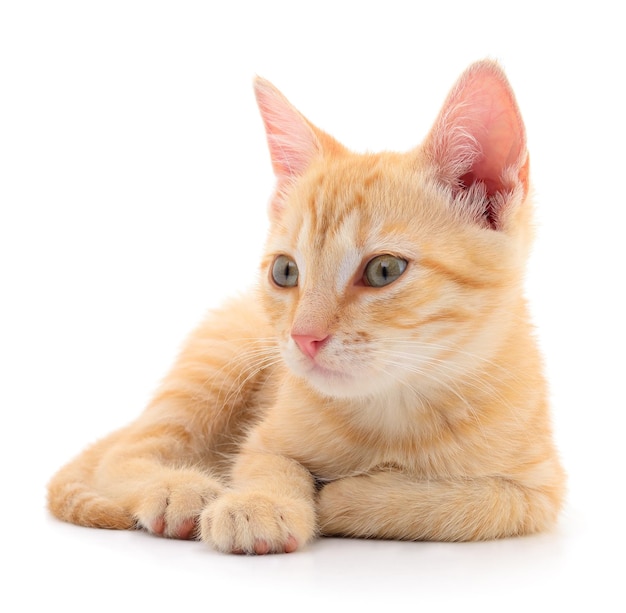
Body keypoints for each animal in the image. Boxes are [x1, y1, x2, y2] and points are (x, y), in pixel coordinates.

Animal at [47, 59, 564, 552]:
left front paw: (346, 496)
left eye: (384, 270)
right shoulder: (265, 437)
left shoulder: (539, 493)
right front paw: (259, 504)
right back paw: (180, 490)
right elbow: (269, 464)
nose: (303, 337)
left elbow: (466, 504)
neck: (396, 404)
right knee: (121, 455)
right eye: (285, 272)